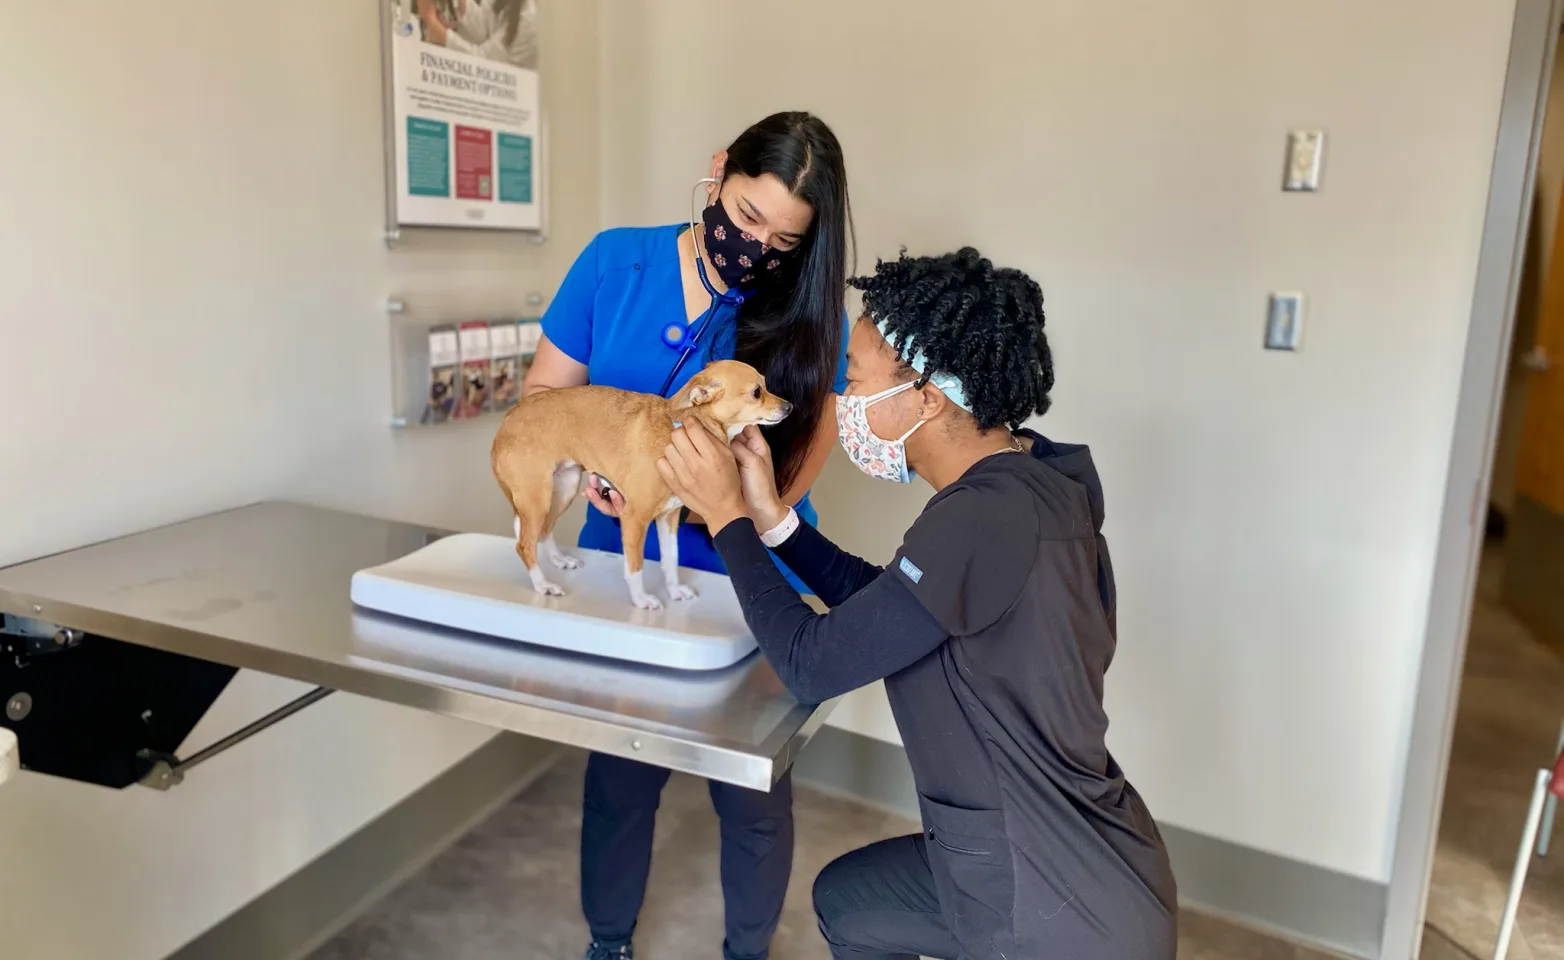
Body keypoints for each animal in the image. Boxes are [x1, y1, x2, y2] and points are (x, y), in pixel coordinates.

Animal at [491, 361, 788, 609]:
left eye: (765, 386)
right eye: (757, 392)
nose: (790, 407)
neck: (677, 430)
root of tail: (506, 420)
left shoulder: (668, 517)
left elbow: (670, 560)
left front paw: (674, 590)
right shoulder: (634, 518)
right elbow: (635, 567)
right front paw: (641, 599)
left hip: (563, 487)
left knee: (544, 530)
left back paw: (559, 560)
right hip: (537, 499)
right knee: (525, 545)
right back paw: (543, 585)